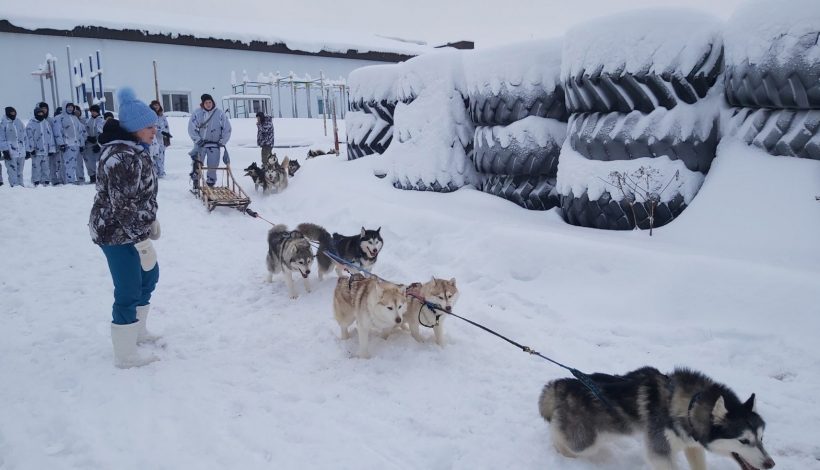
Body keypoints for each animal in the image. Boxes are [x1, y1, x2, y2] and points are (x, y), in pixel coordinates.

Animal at [540, 368, 776, 470]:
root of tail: (562, 383)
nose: (770, 464)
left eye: (762, 438)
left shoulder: (692, 445)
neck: (689, 405)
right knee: (562, 439)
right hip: (585, 442)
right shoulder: (660, 451)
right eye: (743, 440)